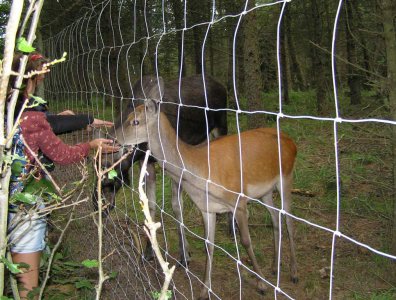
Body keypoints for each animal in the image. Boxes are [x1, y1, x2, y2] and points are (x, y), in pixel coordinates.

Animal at [93, 74, 229, 264]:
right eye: (93, 168)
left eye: (109, 173)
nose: (95, 204)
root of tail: (221, 85)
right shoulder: (147, 162)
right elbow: (150, 206)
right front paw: (148, 251)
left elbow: (176, 205)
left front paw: (184, 252)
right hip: (202, 140)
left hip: (221, 127)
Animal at [116, 94, 298, 298]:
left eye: (135, 121)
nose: (114, 138)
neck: (200, 170)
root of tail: (292, 142)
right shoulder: (207, 208)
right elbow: (208, 245)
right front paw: (204, 290)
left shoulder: (238, 201)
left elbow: (245, 241)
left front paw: (261, 284)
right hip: (265, 192)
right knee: (276, 218)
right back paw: (275, 266)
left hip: (286, 176)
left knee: (289, 221)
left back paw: (293, 272)